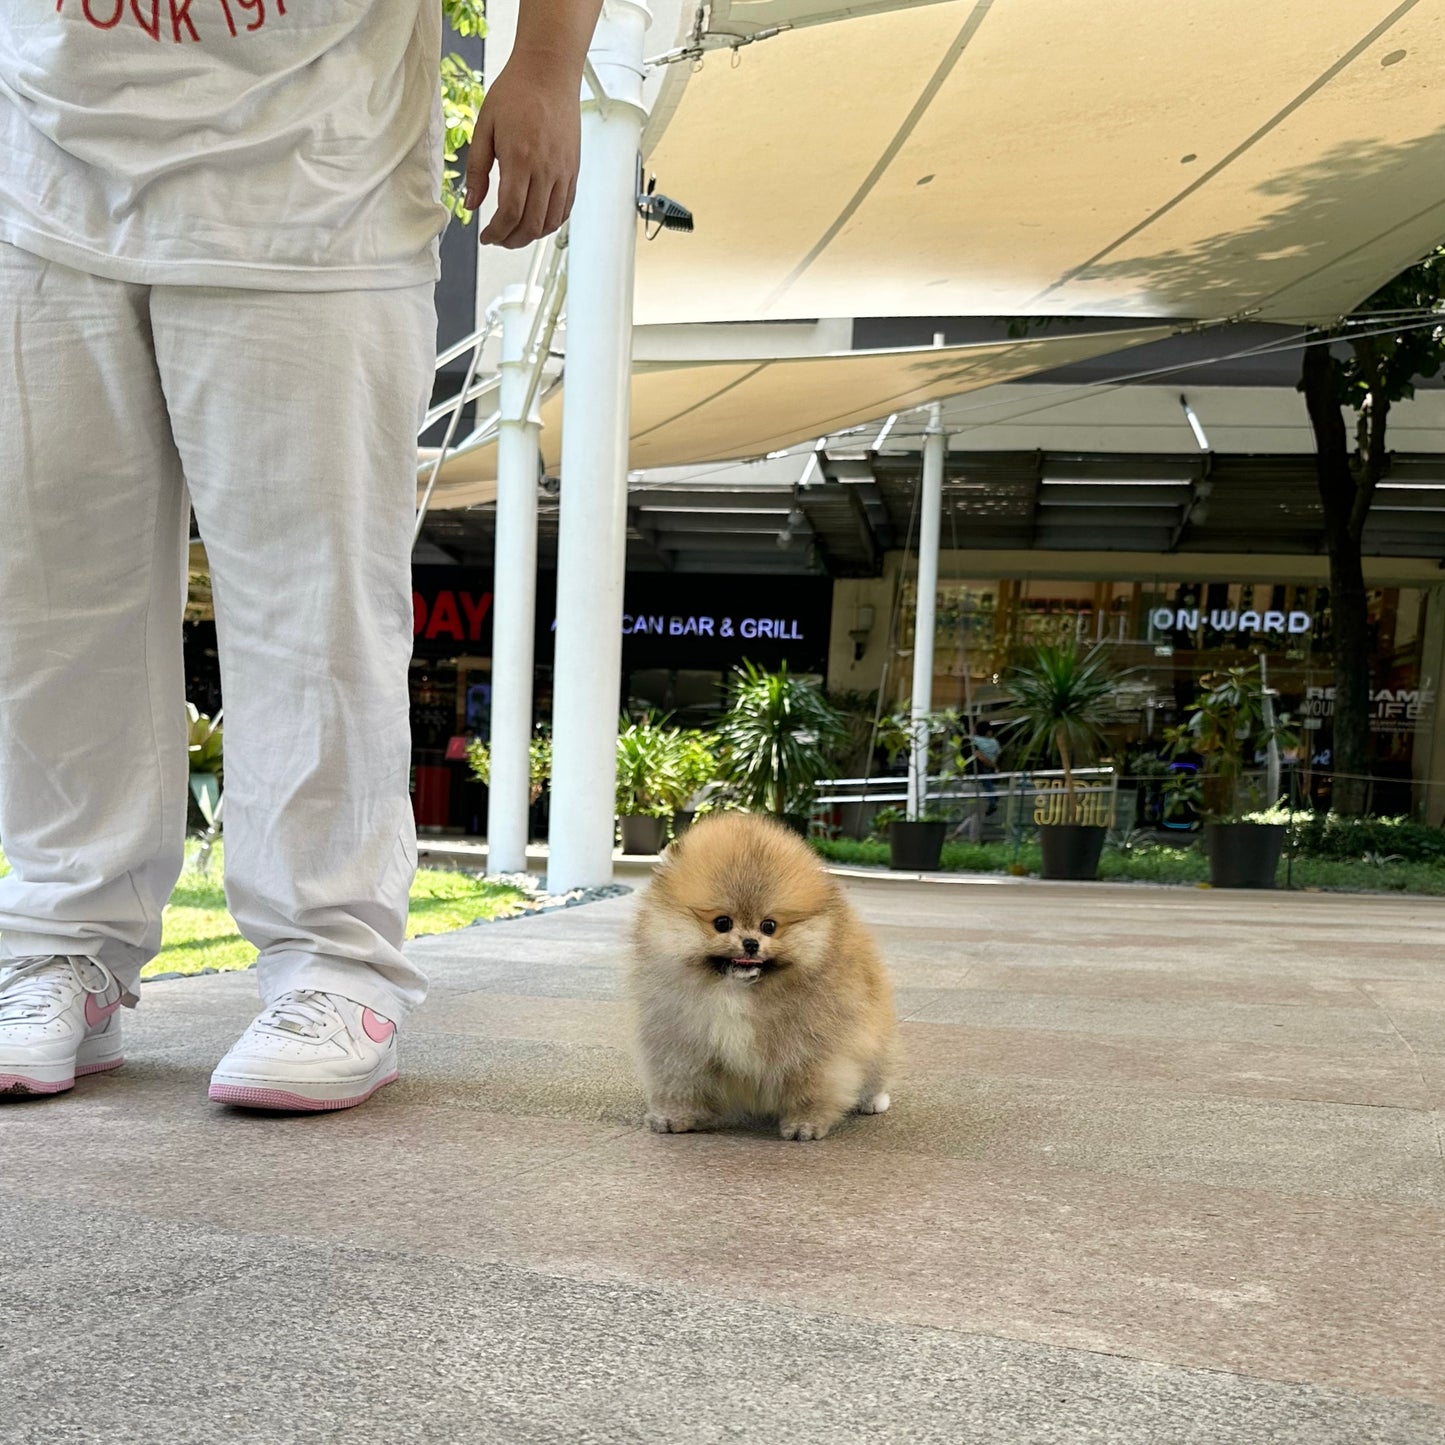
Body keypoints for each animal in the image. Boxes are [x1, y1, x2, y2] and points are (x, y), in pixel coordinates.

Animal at [627, 814, 895, 1138]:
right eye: (722, 923)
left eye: (769, 925)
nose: (751, 943)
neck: (736, 990)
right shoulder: (680, 1042)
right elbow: (680, 1082)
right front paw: (673, 1117)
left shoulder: (813, 1047)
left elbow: (812, 1086)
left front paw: (805, 1123)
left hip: (873, 1034)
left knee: (875, 1070)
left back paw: (874, 1100)